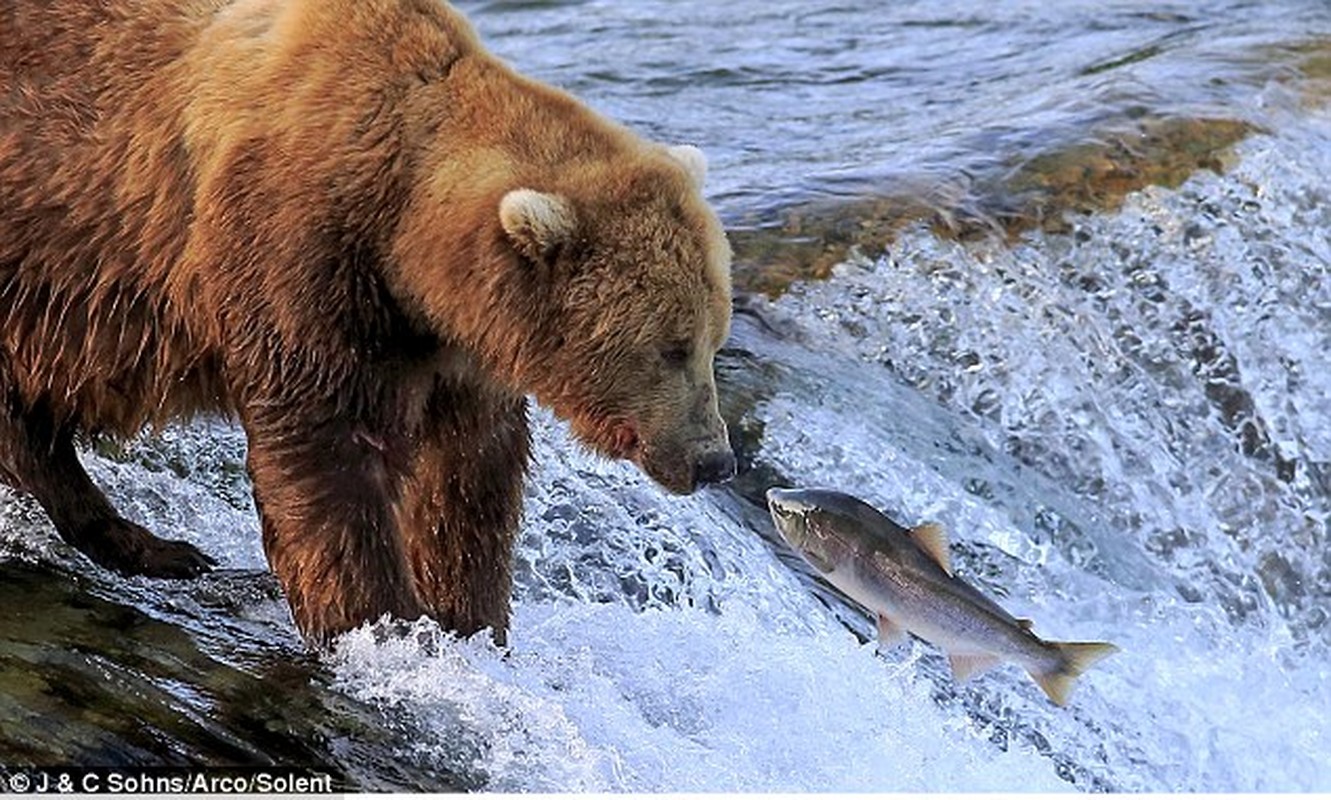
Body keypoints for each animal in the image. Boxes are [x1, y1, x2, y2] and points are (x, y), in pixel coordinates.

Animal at [0, 0, 734, 641]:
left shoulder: (449, 348)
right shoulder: (300, 263)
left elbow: (469, 474)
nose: (714, 460)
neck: (402, 238)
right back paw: (152, 544)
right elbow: (328, 455)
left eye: (712, 340)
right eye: (670, 347)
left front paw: (468, 615)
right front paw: (380, 624)